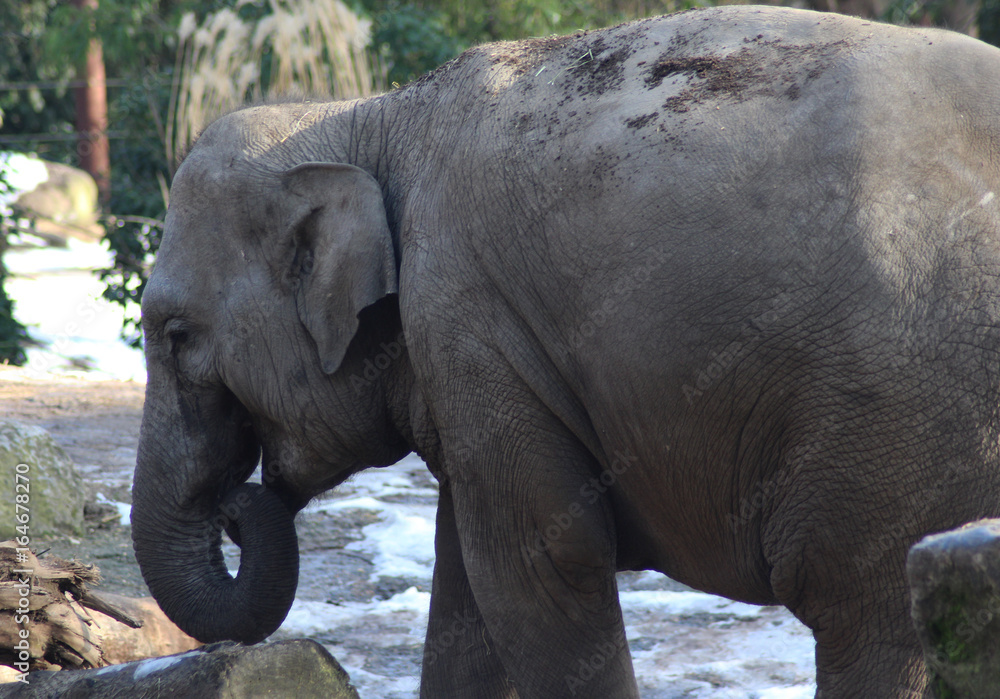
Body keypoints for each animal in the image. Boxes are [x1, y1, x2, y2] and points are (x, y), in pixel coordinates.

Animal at [130, 5, 1000, 697]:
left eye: (176, 336)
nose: (238, 506)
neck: (366, 116)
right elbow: (466, 578)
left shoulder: (467, 315)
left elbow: (541, 561)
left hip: (897, 421)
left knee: (865, 614)